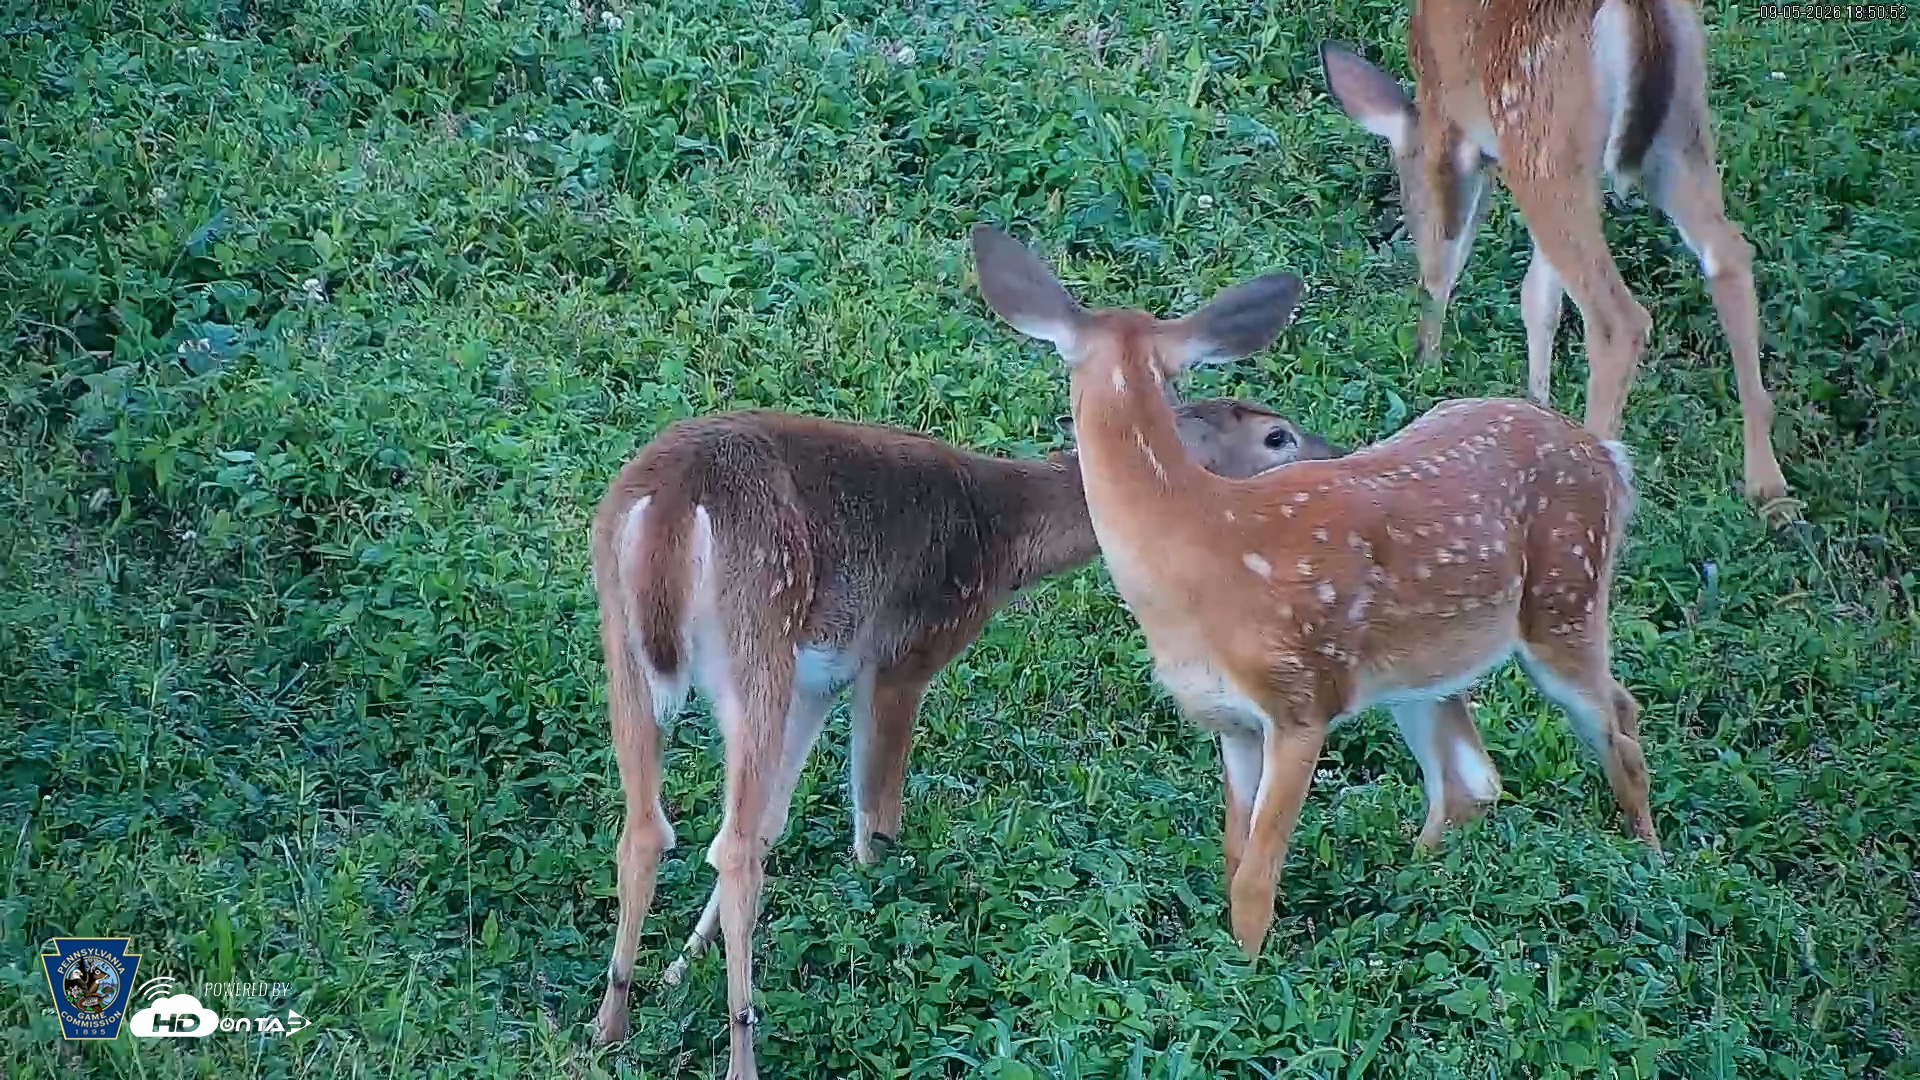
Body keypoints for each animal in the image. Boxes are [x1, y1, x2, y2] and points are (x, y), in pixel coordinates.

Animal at [589, 397, 1344, 1075]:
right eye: (1277, 434)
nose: (1336, 459)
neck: (1005, 537)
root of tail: (667, 505)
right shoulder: (905, 651)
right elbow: (874, 825)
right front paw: (879, 930)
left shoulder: (821, 676)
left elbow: (781, 817)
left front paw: (679, 969)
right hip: (758, 625)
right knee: (735, 849)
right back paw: (738, 1054)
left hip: (627, 641)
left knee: (652, 829)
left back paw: (611, 1022)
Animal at [970, 223, 1659, 963]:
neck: (1201, 546)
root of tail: (1607, 458)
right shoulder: (1231, 718)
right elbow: (1233, 852)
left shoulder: (1302, 697)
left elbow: (1257, 874)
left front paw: (1246, 968)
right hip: (1422, 668)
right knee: (1473, 779)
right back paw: (1407, 885)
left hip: (1566, 595)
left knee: (1618, 716)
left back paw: (1650, 865)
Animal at [1317, 0, 1795, 521]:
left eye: (1406, 197)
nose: (1422, 360)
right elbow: (1539, 295)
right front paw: (1534, 405)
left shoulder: (1452, 128)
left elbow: (1449, 256)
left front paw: (1430, 356)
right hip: (1680, 128)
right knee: (1728, 254)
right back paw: (1769, 488)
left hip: (1542, 136)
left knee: (1616, 319)